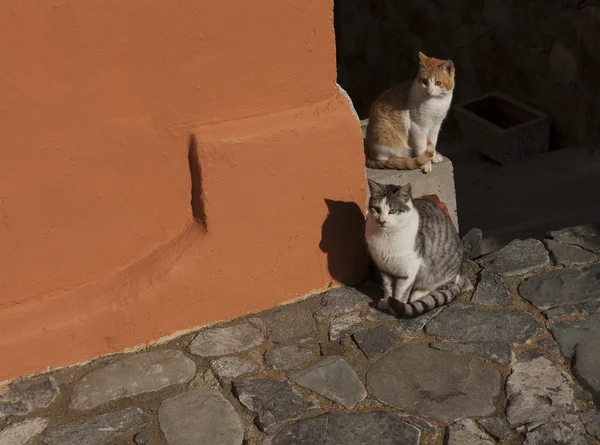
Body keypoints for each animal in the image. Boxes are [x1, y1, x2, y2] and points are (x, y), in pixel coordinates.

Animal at [364, 177, 466, 316]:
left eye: (392, 211)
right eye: (376, 209)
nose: (382, 221)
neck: (386, 235)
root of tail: (460, 272)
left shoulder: (408, 270)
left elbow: (400, 292)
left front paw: (396, 306)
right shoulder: (384, 268)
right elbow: (388, 287)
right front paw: (386, 301)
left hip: (439, 271)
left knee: (441, 285)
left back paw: (418, 295)